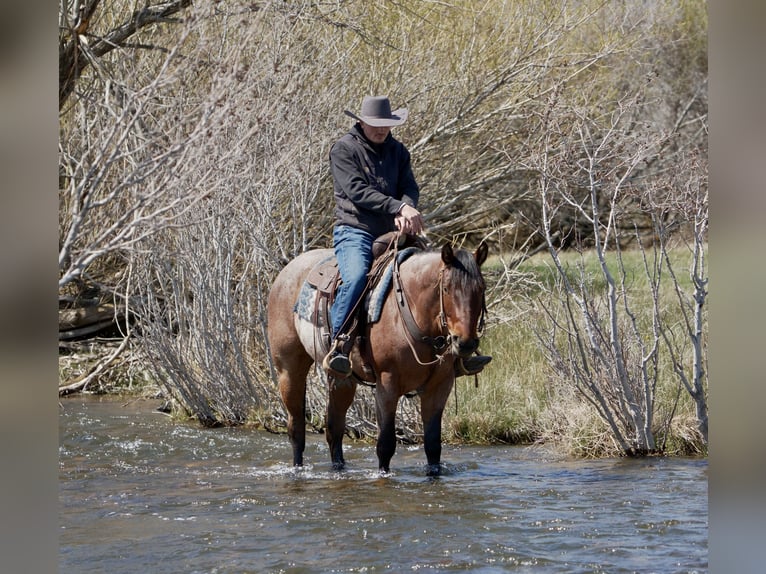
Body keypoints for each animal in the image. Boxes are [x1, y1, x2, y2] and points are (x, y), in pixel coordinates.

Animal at [266, 239, 489, 476]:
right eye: (446, 289)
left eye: (481, 288)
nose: (465, 343)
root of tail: (286, 272)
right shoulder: (387, 383)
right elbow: (385, 444)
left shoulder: (439, 386)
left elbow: (432, 445)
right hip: (289, 370)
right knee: (297, 428)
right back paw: (298, 469)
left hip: (343, 380)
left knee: (334, 429)